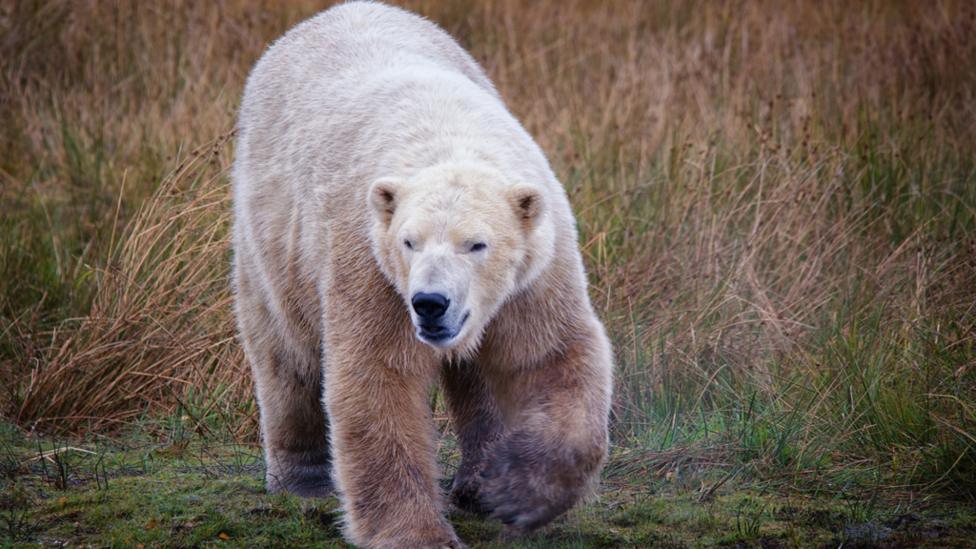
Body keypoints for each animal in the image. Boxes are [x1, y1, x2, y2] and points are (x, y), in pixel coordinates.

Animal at [231, 2, 613, 547]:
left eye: (477, 244)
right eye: (409, 242)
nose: (431, 303)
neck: (449, 139)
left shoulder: (535, 272)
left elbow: (551, 355)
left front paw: (516, 494)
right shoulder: (372, 269)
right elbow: (377, 380)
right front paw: (418, 533)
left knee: (478, 376)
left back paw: (477, 481)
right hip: (271, 235)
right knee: (284, 350)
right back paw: (302, 481)